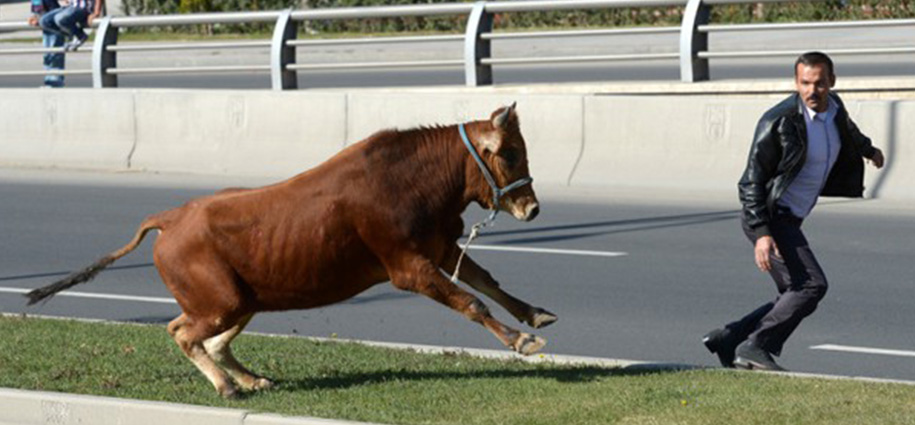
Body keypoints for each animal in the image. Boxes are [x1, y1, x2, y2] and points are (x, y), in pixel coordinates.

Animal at [26, 102, 560, 398]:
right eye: (510, 152)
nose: (531, 208)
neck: (415, 180)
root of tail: (169, 219)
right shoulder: (408, 267)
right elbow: (470, 301)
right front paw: (521, 341)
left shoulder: (441, 247)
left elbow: (486, 280)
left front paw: (535, 315)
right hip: (221, 300)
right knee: (183, 332)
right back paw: (227, 386)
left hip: (241, 299)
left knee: (212, 340)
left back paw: (251, 380)